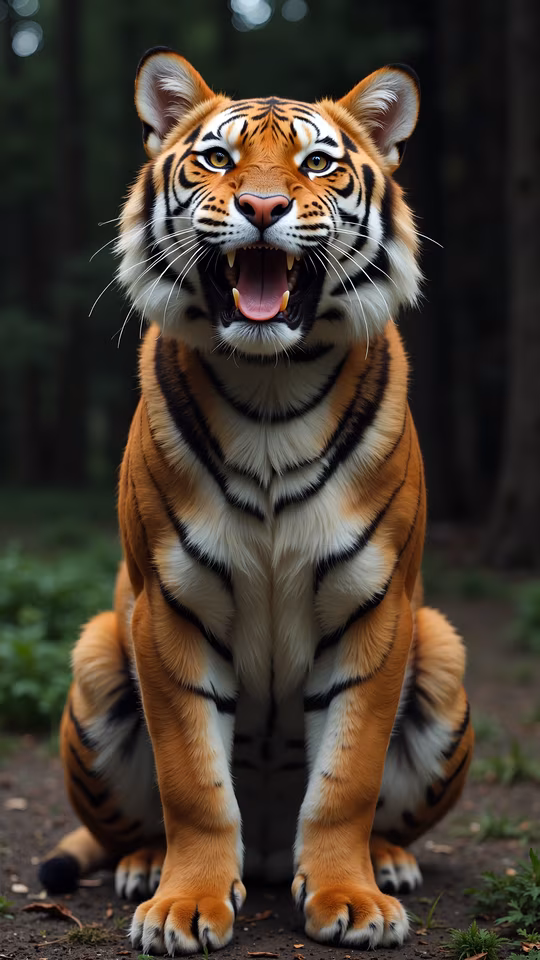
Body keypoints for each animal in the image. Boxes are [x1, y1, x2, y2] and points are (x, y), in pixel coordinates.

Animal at [38, 48, 473, 956]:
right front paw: (184, 904)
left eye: (318, 163)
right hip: (97, 657)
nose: (264, 208)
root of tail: (270, 855)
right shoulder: (168, 608)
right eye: (216, 157)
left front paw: (351, 898)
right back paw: (143, 865)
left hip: (443, 654)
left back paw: (389, 862)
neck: (272, 388)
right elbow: (193, 782)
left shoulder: (377, 607)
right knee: (135, 823)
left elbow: (347, 777)